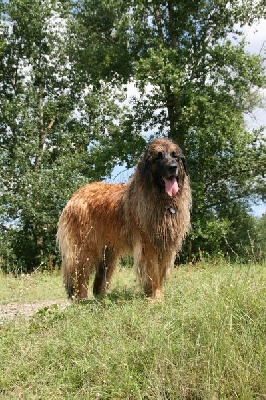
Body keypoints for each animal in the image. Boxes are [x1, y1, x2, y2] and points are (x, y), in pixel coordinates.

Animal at [57, 138, 192, 300]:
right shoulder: (147, 244)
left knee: (101, 275)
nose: (173, 167)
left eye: (174, 156)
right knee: (80, 273)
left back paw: (101, 296)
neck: (163, 200)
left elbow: (160, 271)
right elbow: (153, 271)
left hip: (108, 251)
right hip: (83, 246)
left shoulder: (166, 245)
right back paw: (81, 299)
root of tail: (76, 194)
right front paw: (156, 296)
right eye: (159, 157)